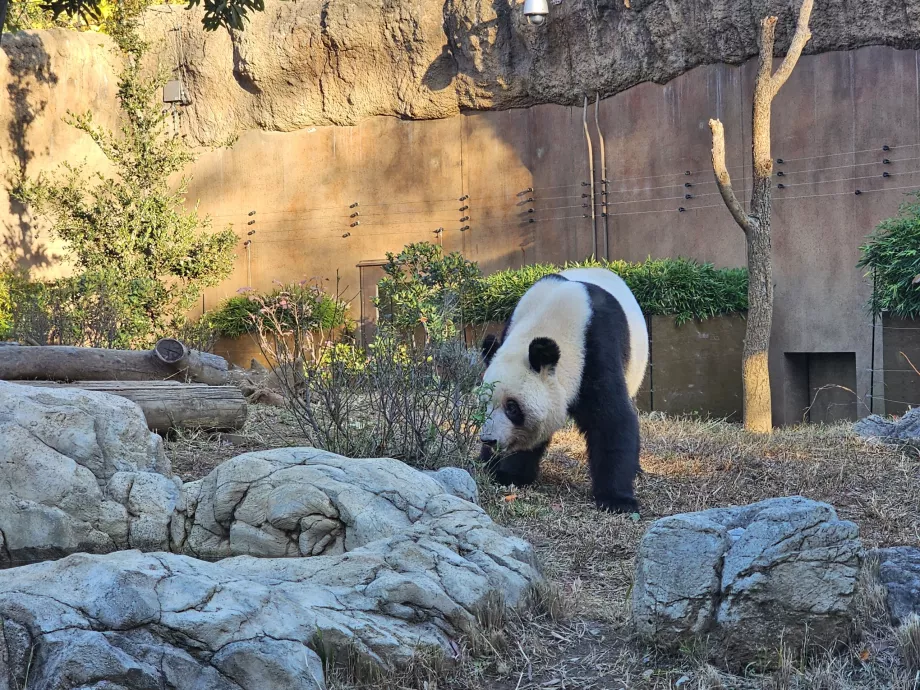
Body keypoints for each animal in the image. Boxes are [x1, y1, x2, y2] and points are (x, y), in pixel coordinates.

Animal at [478, 266, 649, 513]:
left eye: (512, 407)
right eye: (483, 404)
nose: (489, 440)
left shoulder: (595, 350)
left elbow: (611, 420)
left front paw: (617, 500)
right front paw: (508, 473)